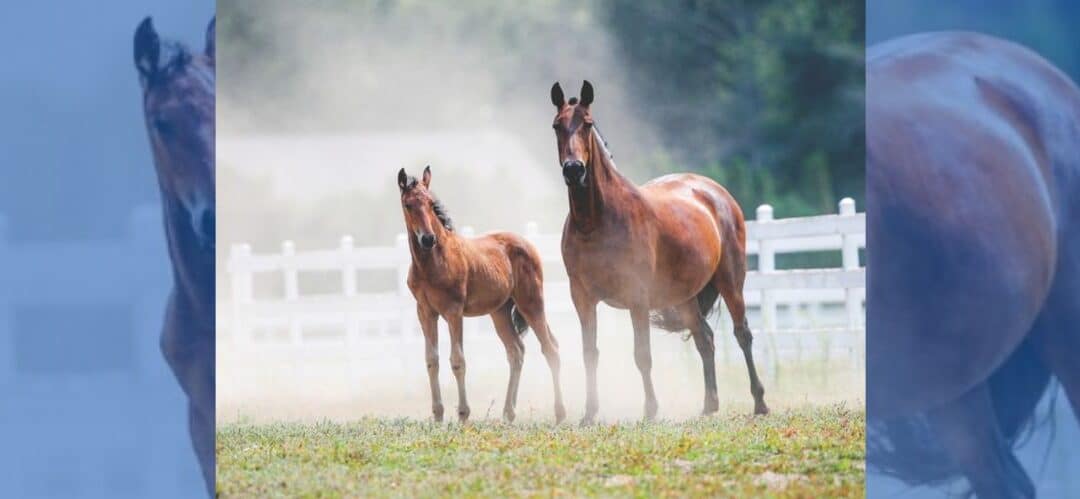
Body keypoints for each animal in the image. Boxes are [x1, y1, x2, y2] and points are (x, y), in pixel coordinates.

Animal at [397, 166, 565, 421]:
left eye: (430, 203)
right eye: (408, 205)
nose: (427, 239)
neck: (432, 263)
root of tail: (529, 245)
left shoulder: (453, 311)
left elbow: (458, 360)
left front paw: (463, 414)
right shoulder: (425, 312)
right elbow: (431, 360)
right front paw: (438, 415)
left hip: (531, 302)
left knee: (550, 348)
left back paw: (559, 413)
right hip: (500, 312)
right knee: (516, 351)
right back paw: (508, 413)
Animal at [548, 81, 768, 421]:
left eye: (586, 123)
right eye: (557, 126)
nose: (574, 170)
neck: (595, 223)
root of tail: (717, 193)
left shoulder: (637, 296)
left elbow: (642, 355)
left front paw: (650, 410)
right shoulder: (582, 297)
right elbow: (590, 353)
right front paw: (589, 414)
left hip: (730, 281)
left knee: (742, 334)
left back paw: (759, 402)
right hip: (685, 297)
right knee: (705, 339)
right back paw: (709, 405)